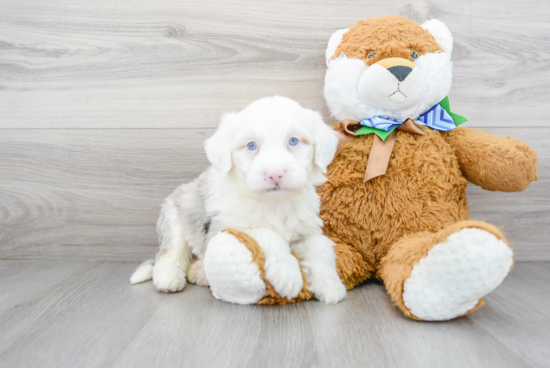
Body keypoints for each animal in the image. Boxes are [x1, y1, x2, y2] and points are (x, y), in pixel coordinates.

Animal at [132, 96, 348, 304]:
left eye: (293, 141)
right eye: (251, 145)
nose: (275, 173)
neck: (274, 204)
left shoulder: (305, 228)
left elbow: (320, 245)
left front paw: (330, 285)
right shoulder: (227, 225)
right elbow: (265, 232)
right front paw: (287, 273)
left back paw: (200, 272)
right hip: (175, 217)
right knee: (169, 254)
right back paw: (168, 278)